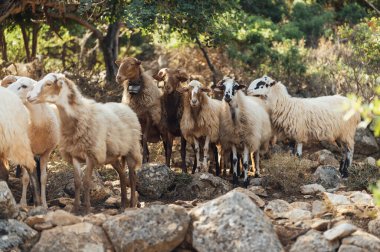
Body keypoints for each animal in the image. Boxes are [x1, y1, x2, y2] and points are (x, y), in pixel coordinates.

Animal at [7, 77, 60, 209]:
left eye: (24, 86)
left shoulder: (46, 152)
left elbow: (43, 178)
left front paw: (44, 204)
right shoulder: (28, 151)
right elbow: (26, 178)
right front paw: (23, 203)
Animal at [27, 73, 142, 213]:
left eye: (48, 84)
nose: (28, 97)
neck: (78, 116)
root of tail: (126, 107)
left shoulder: (91, 153)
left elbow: (87, 181)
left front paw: (87, 208)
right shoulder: (74, 155)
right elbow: (77, 182)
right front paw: (75, 208)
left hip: (132, 149)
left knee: (132, 176)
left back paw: (132, 204)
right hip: (112, 156)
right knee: (122, 174)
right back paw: (122, 205)